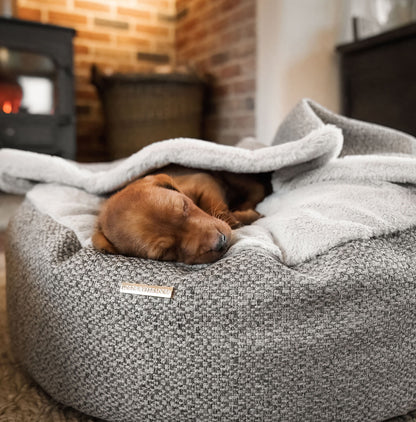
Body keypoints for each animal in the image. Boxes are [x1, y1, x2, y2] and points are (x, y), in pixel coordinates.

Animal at [92, 165, 272, 264]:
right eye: (165, 252)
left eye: (184, 206)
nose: (220, 242)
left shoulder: (203, 181)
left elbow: (214, 203)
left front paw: (237, 218)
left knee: (257, 189)